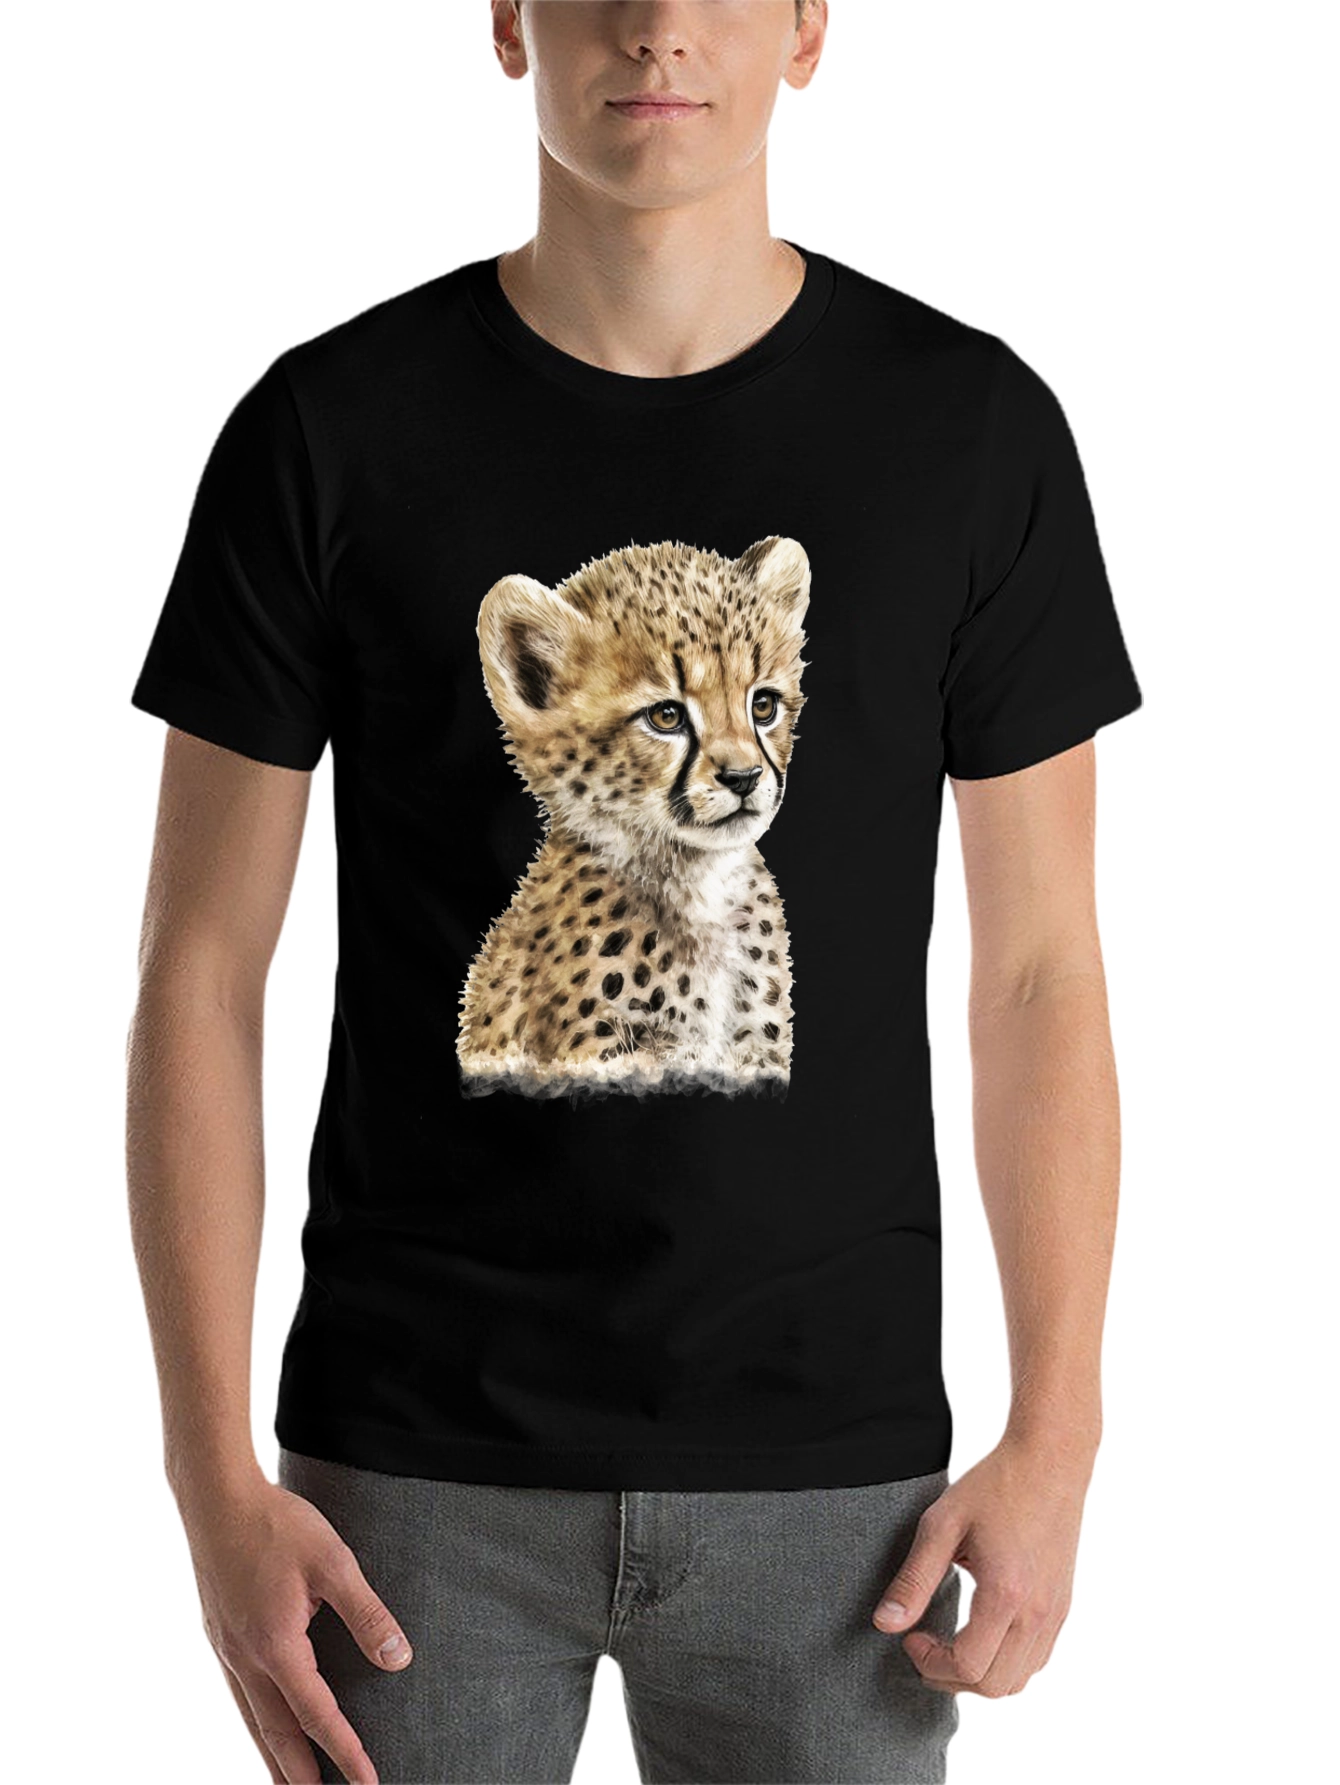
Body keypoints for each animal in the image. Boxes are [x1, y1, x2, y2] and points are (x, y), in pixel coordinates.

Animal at [457, 535, 811, 1095]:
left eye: (763, 706)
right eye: (666, 716)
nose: (744, 777)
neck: (699, 883)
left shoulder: (754, 1053)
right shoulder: (603, 1058)